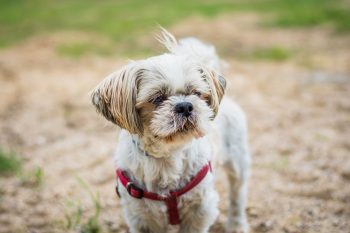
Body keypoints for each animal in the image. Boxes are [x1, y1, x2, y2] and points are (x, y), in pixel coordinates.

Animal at [90, 29, 249, 233]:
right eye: (157, 98)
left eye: (196, 93)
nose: (185, 106)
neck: (167, 157)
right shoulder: (141, 217)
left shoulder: (200, 208)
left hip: (238, 163)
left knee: (237, 194)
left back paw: (237, 224)